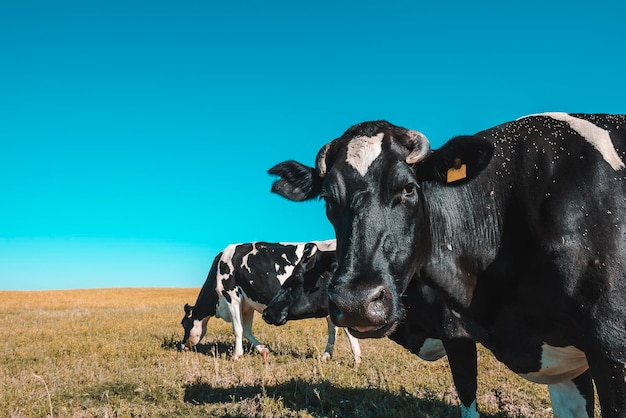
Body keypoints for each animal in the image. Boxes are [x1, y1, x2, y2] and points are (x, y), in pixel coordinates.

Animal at [178, 240, 358, 364]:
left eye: (184, 323)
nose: (182, 345)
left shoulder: (231, 297)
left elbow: (237, 329)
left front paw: (236, 355)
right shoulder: (247, 305)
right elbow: (247, 330)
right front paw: (263, 350)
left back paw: (356, 358)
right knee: (333, 328)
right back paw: (326, 356)